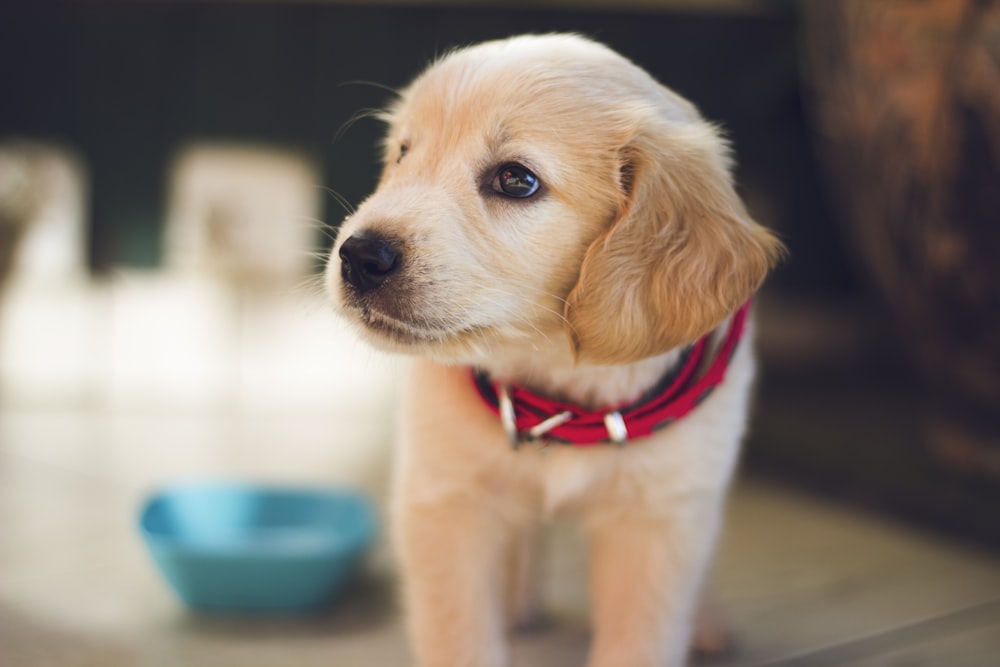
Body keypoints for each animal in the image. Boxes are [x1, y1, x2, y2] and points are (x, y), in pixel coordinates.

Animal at [324, 34, 784, 664]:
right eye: (402, 154)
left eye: (516, 180)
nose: (358, 256)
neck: (558, 385)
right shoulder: (445, 500)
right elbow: (458, 633)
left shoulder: (659, 520)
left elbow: (641, 637)